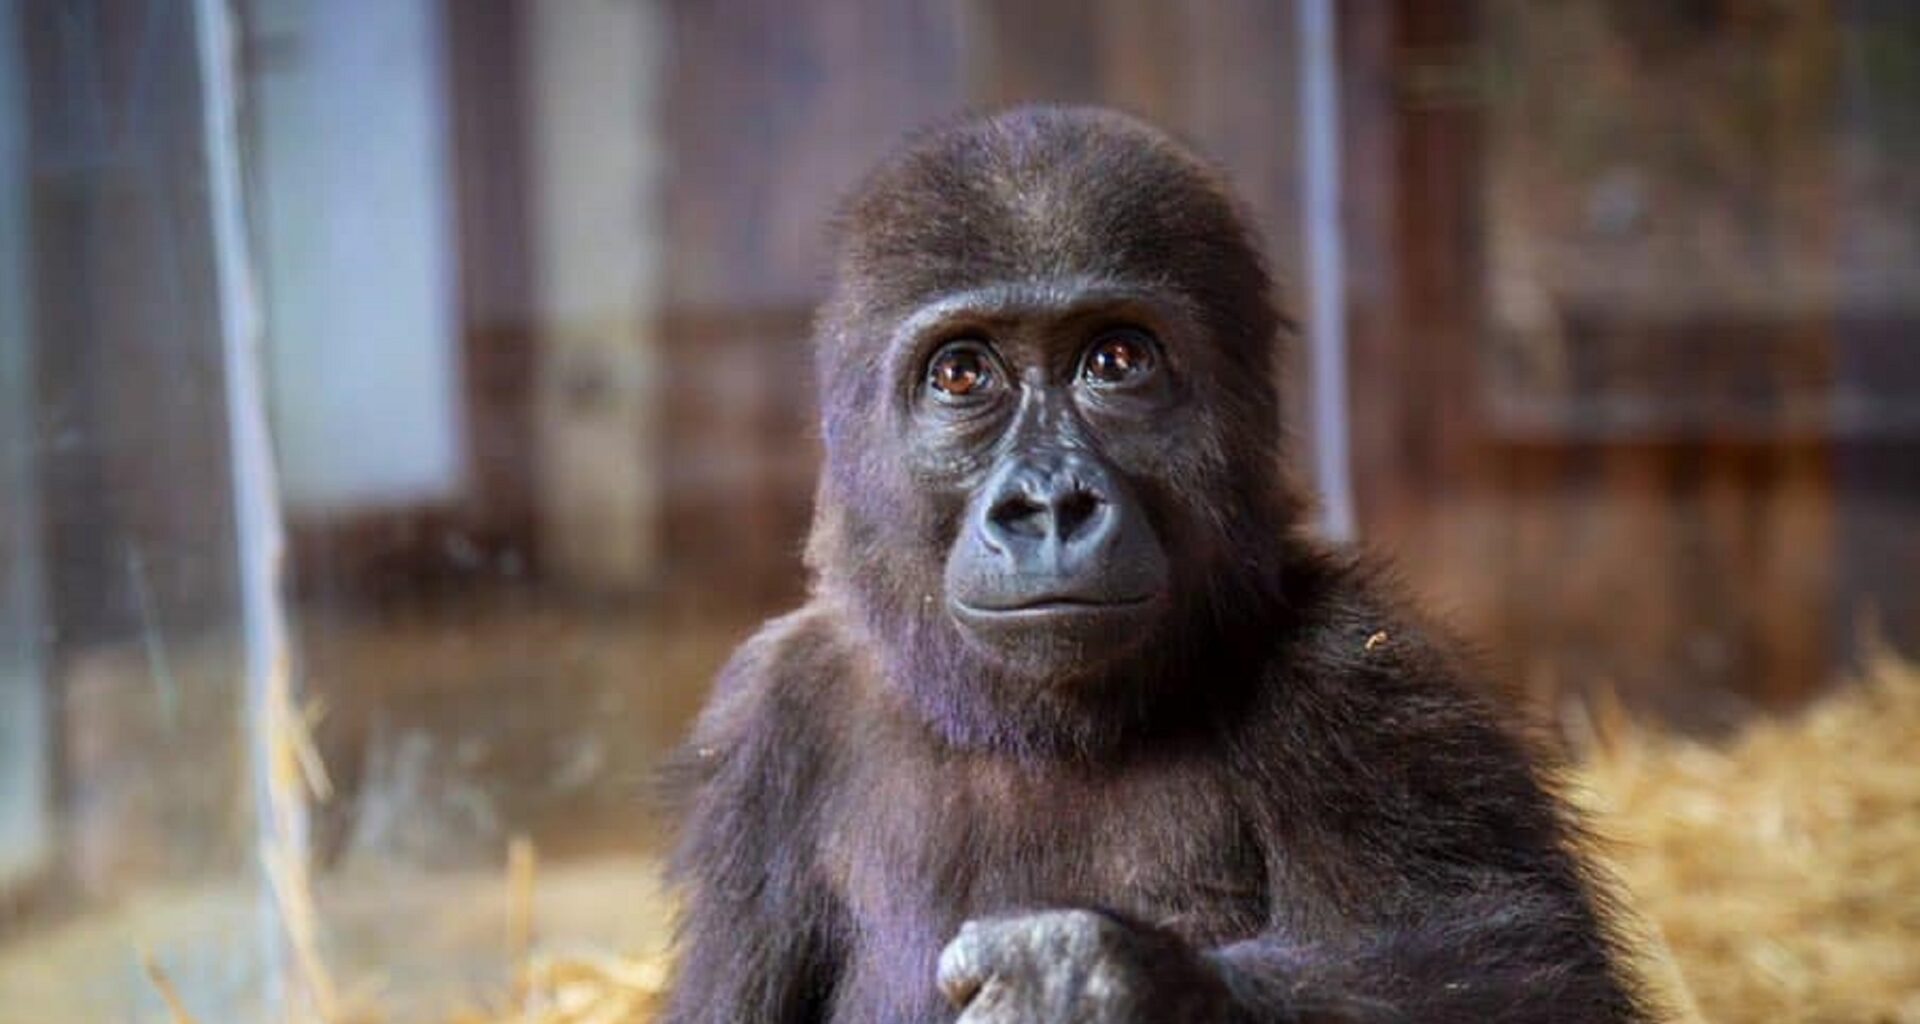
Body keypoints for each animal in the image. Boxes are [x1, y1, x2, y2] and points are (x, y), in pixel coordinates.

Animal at [662, 106, 1651, 1024]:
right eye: (960, 375)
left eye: (1117, 360)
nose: (1049, 505)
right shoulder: (767, 719)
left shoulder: (1365, 674)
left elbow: (1533, 972)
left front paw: (1099, 983)